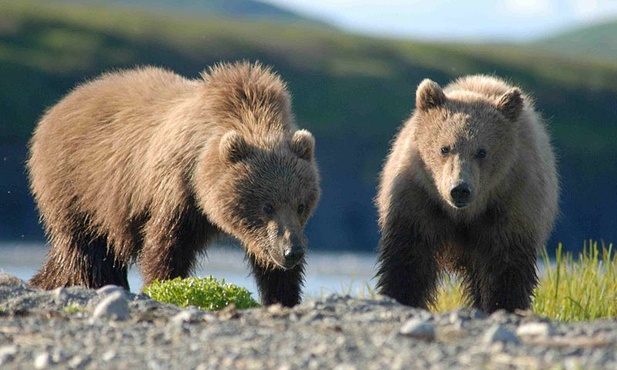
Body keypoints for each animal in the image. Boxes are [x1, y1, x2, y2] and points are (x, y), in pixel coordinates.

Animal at [27, 62, 320, 306]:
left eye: (301, 205)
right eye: (267, 206)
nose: (292, 251)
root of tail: (56, 108)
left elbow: (271, 267)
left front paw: (284, 296)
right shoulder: (176, 191)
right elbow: (166, 246)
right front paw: (162, 285)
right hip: (77, 186)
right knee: (86, 248)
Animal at [376, 74, 560, 312]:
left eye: (482, 151)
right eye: (445, 148)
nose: (460, 190)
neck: (463, 214)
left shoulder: (513, 205)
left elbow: (507, 268)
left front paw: (504, 304)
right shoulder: (417, 200)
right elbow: (409, 260)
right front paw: (401, 297)